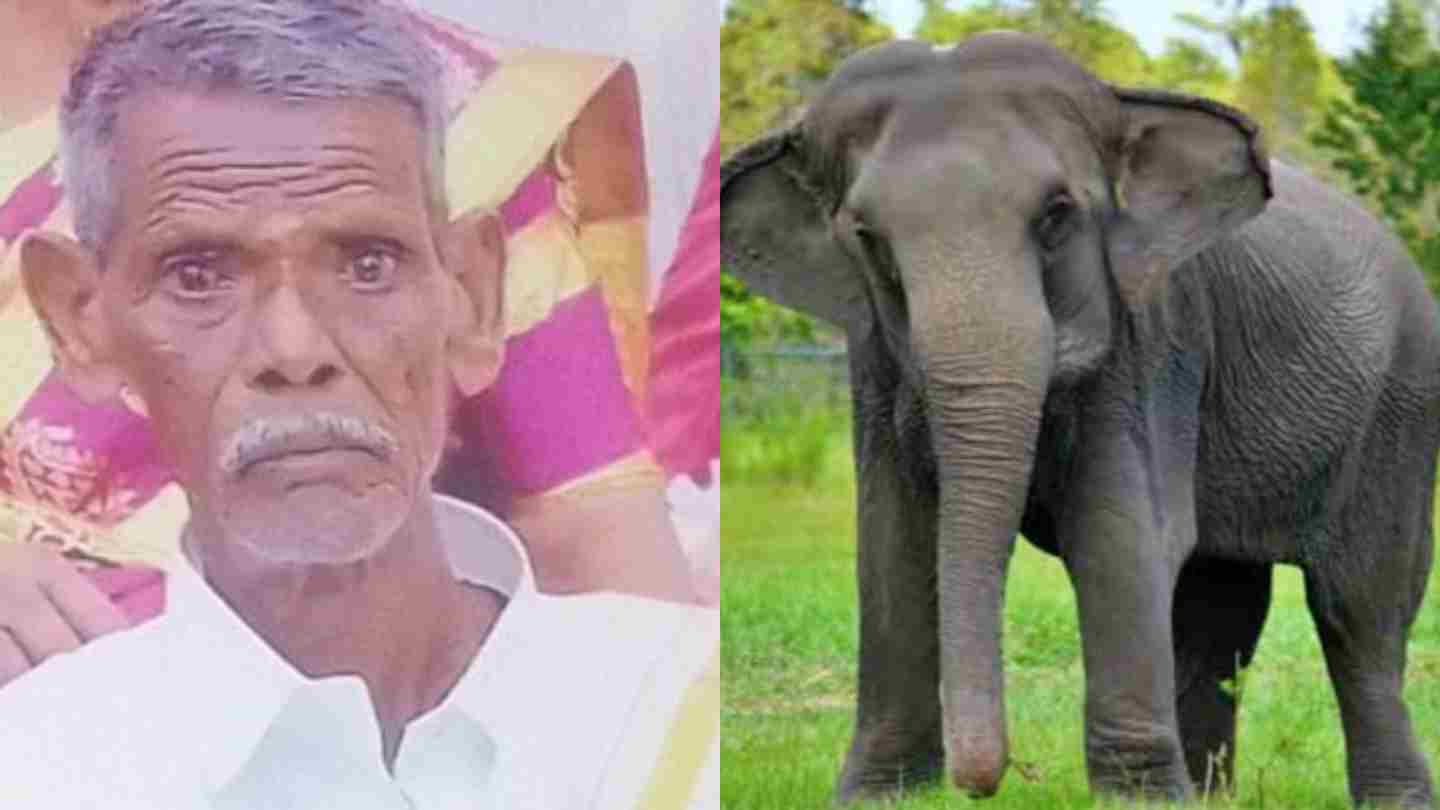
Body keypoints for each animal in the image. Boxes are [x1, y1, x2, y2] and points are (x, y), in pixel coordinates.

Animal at [721, 32, 1438, 807]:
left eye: (1057, 215)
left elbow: (1118, 530)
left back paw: (1391, 794)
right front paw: (882, 795)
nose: (985, 781)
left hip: (1401, 403)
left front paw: (1136, 799)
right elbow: (893, 538)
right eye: (868, 238)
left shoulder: (1156, 334)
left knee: (1357, 608)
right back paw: (1211, 795)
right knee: (1219, 605)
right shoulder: (873, 357)